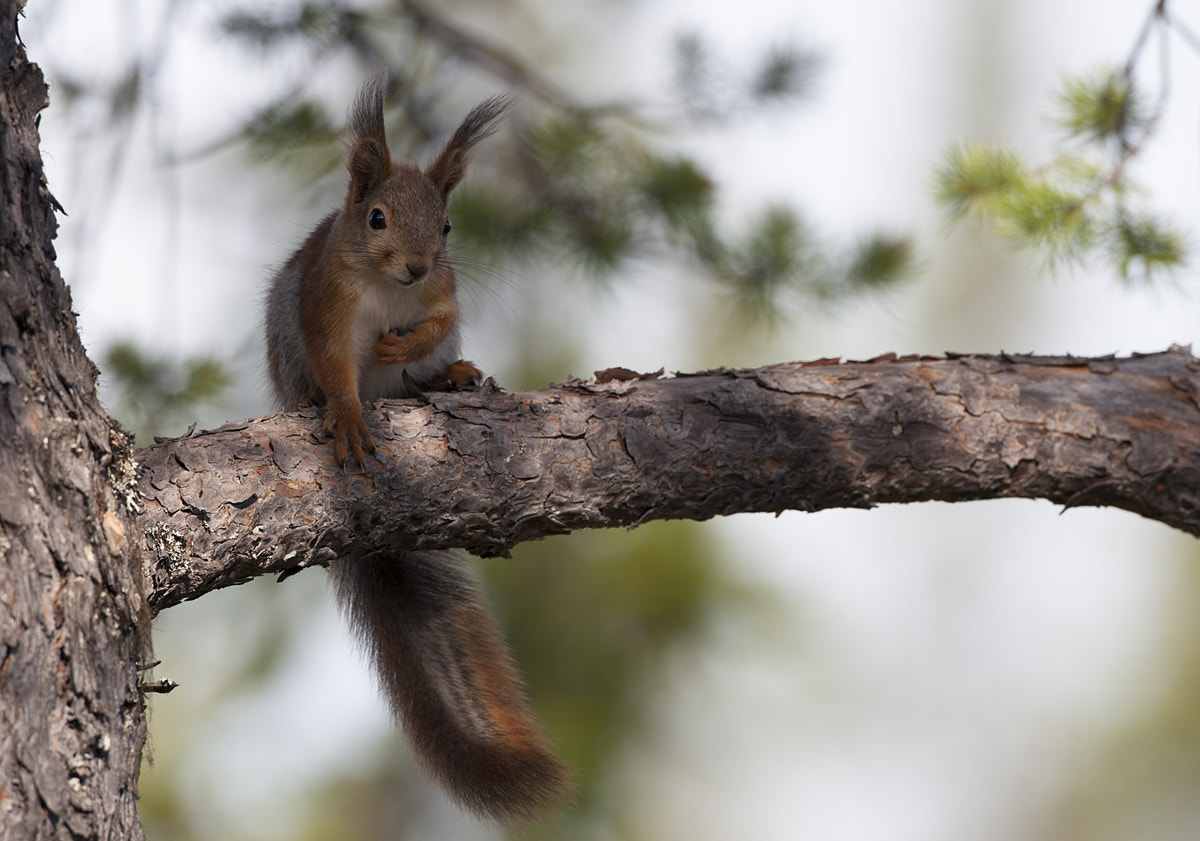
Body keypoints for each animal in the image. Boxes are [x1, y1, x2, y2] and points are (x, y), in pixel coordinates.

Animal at [263, 72, 572, 822]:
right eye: (375, 218)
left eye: (448, 225)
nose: (414, 264)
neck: (386, 291)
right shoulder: (325, 306)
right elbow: (337, 366)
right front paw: (347, 413)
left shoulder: (446, 291)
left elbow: (439, 317)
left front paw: (407, 347)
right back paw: (317, 402)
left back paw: (445, 375)